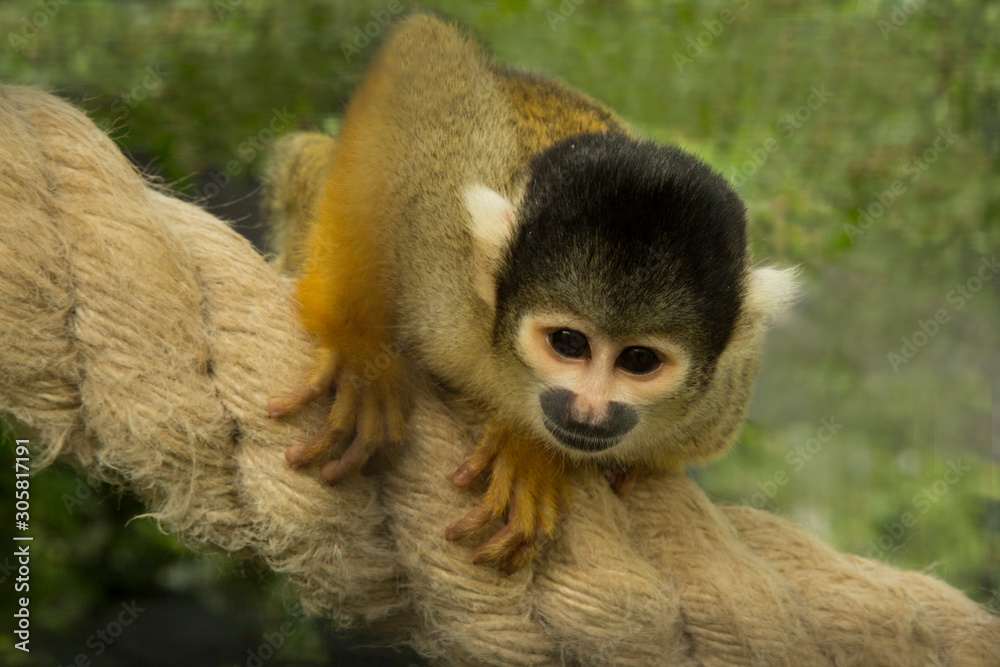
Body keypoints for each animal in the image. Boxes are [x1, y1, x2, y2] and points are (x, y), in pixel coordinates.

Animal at [266, 14, 798, 573]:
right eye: (568, 343)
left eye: (639, 360)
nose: (588, 412)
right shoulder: (440, 260)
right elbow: (420, 58)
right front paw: (358, 348)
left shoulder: (718, 402)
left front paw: (532, 453)